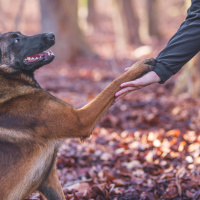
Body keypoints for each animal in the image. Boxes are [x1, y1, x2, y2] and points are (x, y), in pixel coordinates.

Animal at [0, 31, 155, 200]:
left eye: (20, 34)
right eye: (16, 40)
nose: (51, 34)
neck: (7, 76)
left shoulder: (49, 179)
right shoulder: (81, 120)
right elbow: (113, 84)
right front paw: (138, 66)